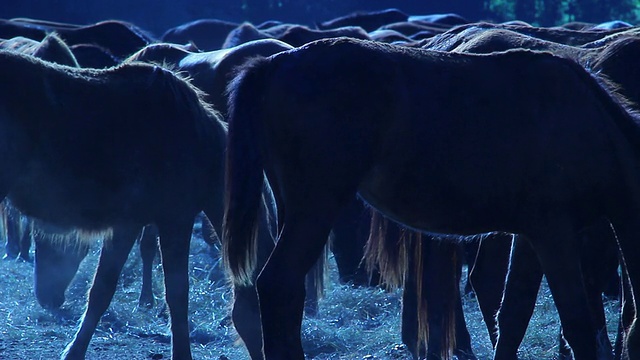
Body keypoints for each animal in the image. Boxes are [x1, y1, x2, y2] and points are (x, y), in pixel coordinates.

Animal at [0, 48, 245, 360]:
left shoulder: (128, 224)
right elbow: (177, 293)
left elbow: (101, 290)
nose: (48, 299)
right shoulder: (175, 219)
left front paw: (74, 350)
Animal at [224, 37, 640, 360]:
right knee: (279, 285)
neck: (588, 124)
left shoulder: (530, 235)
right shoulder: (555, 233)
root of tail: (276, 63)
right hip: (316, 206)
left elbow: (513, 316)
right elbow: (577, 323)